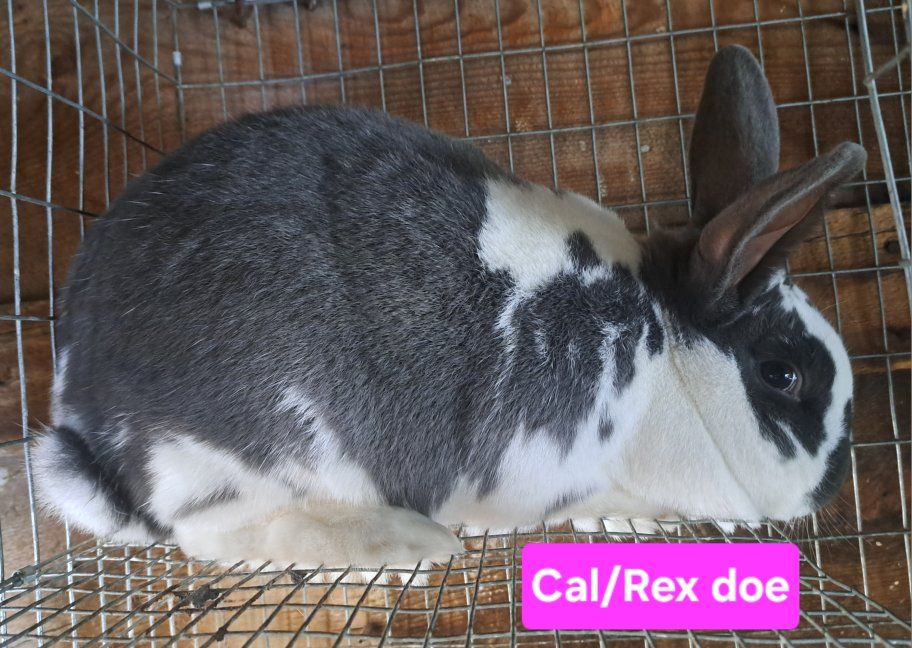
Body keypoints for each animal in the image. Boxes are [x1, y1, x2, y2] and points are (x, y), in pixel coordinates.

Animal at [33, 45, 863, 569]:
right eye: (783, 375)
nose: (832, 484)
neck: (665, 363)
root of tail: (85, 417)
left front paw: (628, 520)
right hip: (247, 463)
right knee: (220, 537)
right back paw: (407, 547)